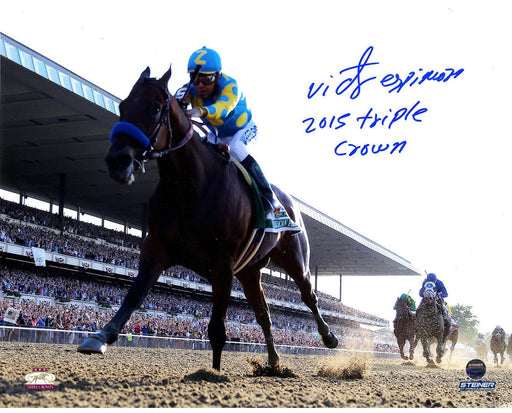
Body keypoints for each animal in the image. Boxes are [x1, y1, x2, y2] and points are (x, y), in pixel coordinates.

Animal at [77, 66, 340, 368]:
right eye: (122, 106)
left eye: (155, 109)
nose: (117, 161)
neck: (190, 185)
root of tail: (291, 203)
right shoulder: (158, 246)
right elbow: (135, 294)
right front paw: (100, 336)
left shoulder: (223, 262)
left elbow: (217, 330)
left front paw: (213, 373)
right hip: (250, 271)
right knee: (264, 314)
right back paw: (274, 362)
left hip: (295, 258)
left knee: (309, 295)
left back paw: (329, 336)